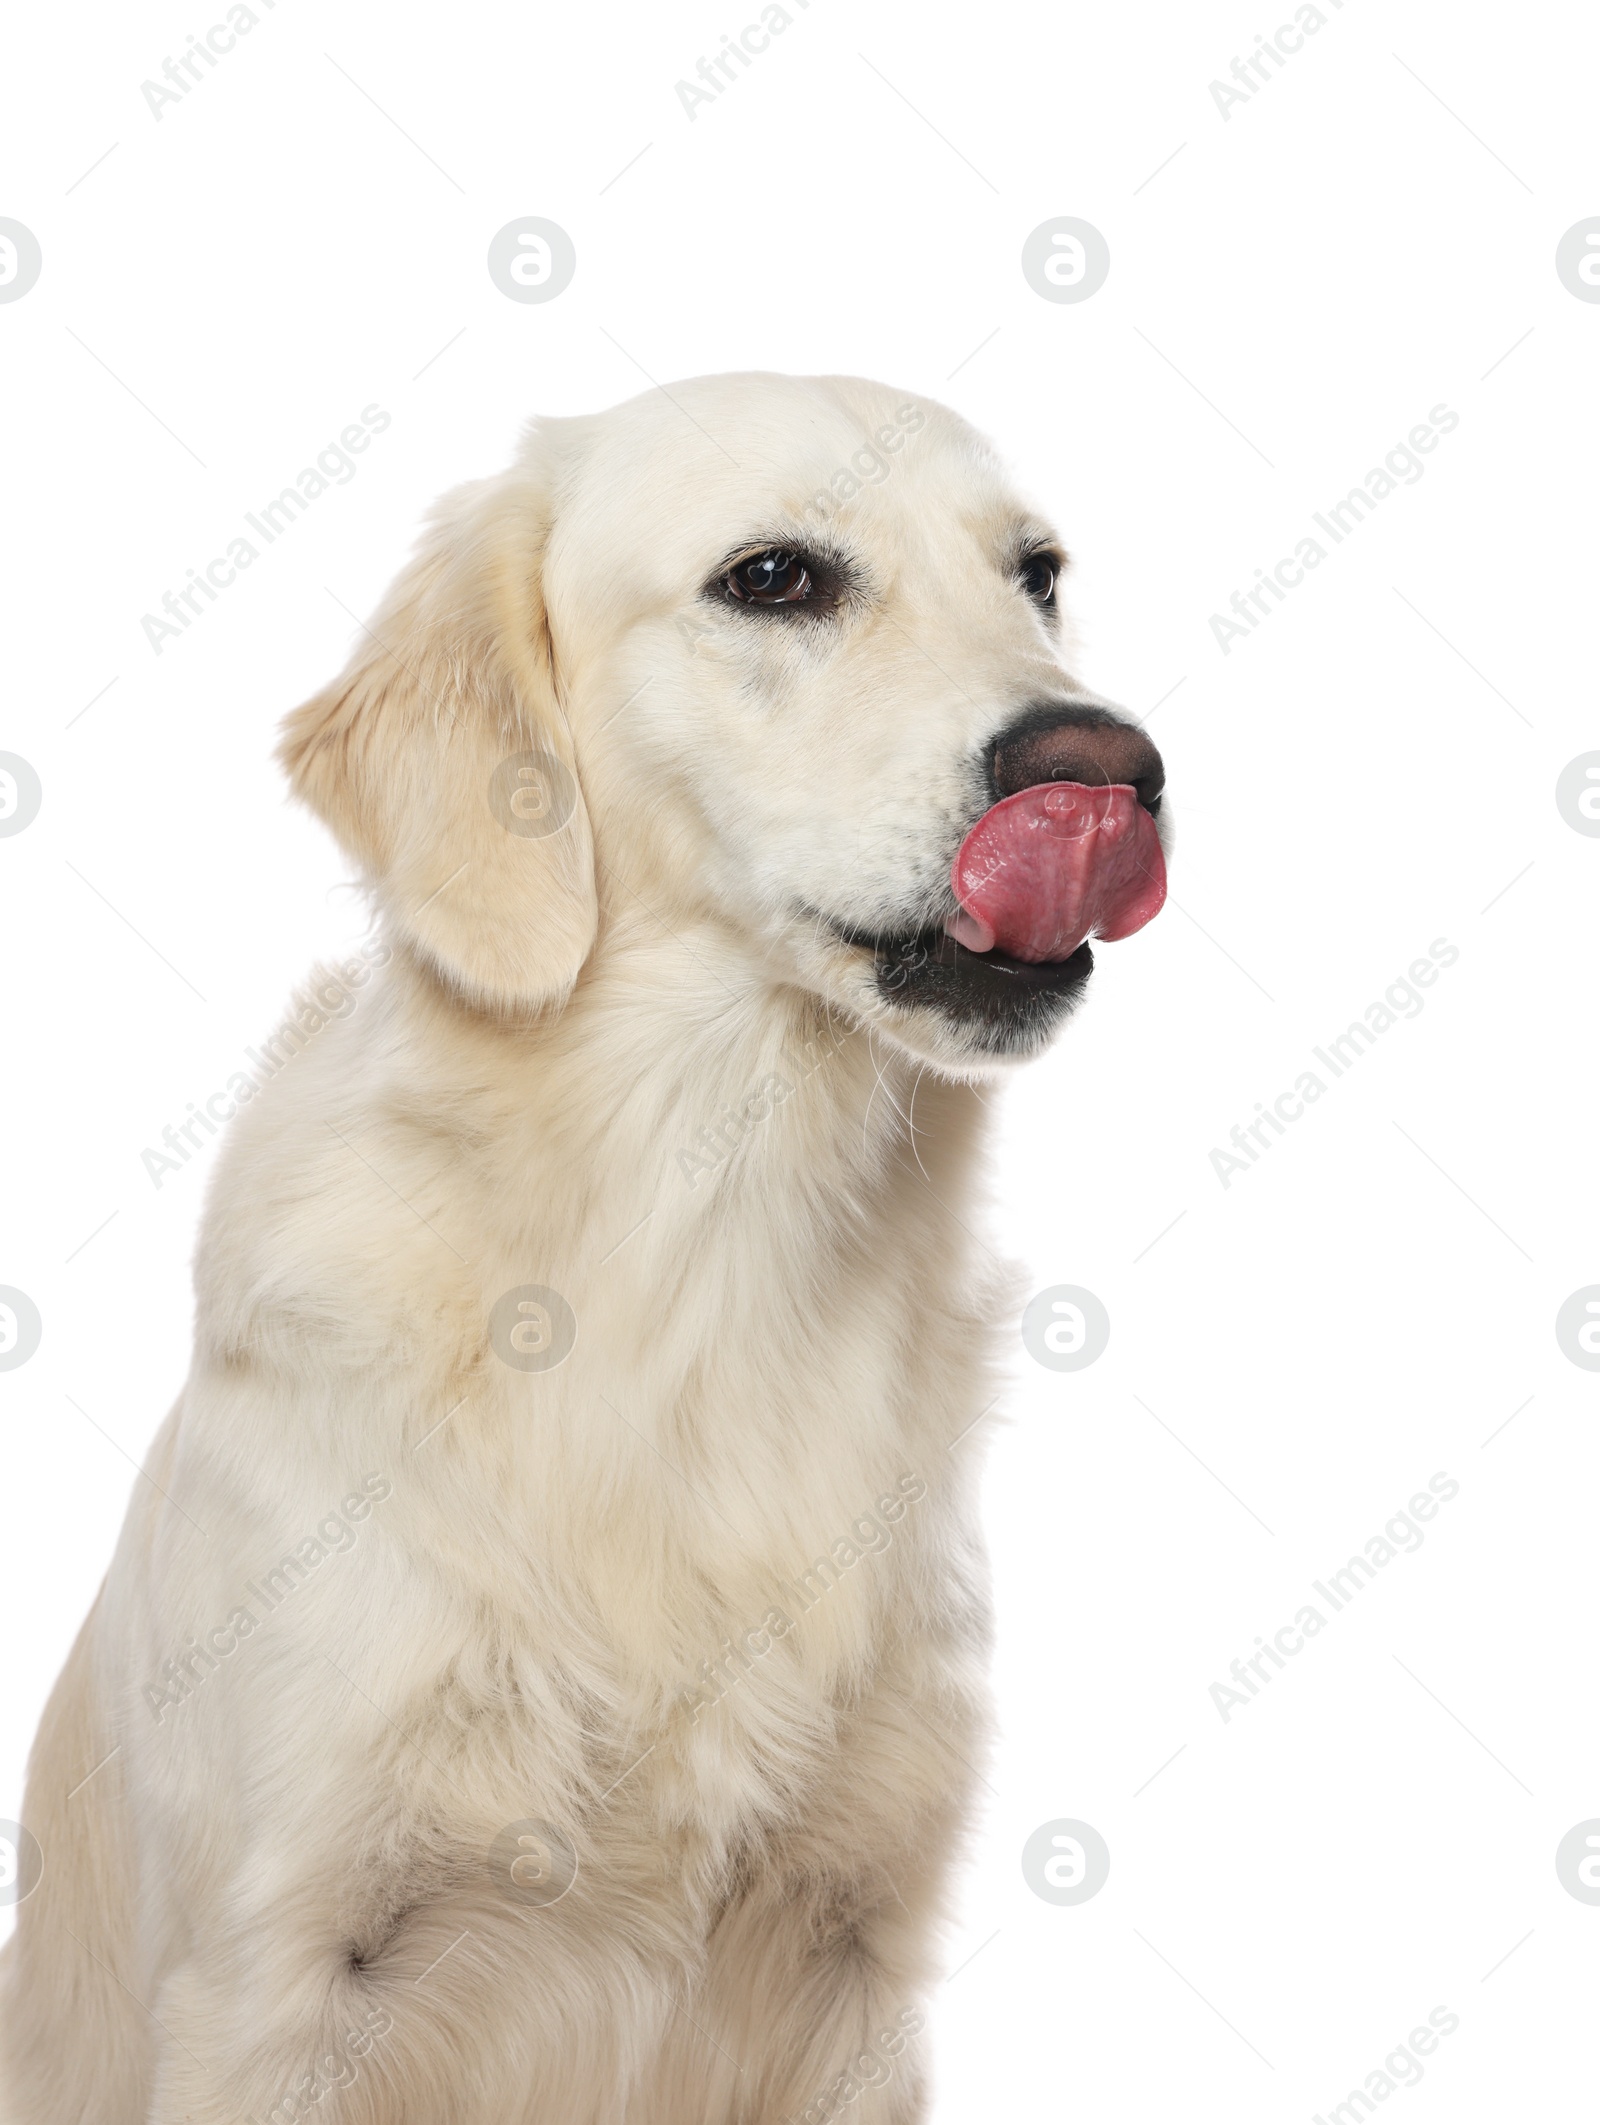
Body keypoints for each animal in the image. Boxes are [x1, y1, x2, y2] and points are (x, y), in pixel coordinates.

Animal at [6, 378, 1164, 2125]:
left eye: (1036, 573)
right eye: (774, 578)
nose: (1113, 765)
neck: (698, 1245)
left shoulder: (860, 1958)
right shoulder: (266, 1973)